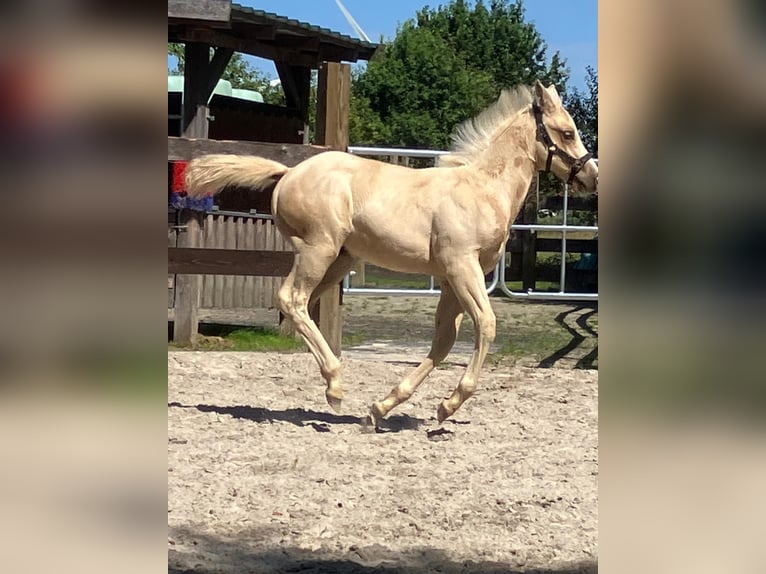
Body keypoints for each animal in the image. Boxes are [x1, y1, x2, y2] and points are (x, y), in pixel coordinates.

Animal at [185, 81, 597, 426]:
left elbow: (444, 340)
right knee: (292, 298)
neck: (481, 189)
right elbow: (486, 324)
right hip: (319, 248)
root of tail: (287, 173)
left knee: (301, 305)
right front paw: (450, 402)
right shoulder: (462, 267)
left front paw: (385, 408)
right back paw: (335, 386)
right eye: (567, 132)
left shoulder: (451, 278)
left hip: (340, 260)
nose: (591, 176)